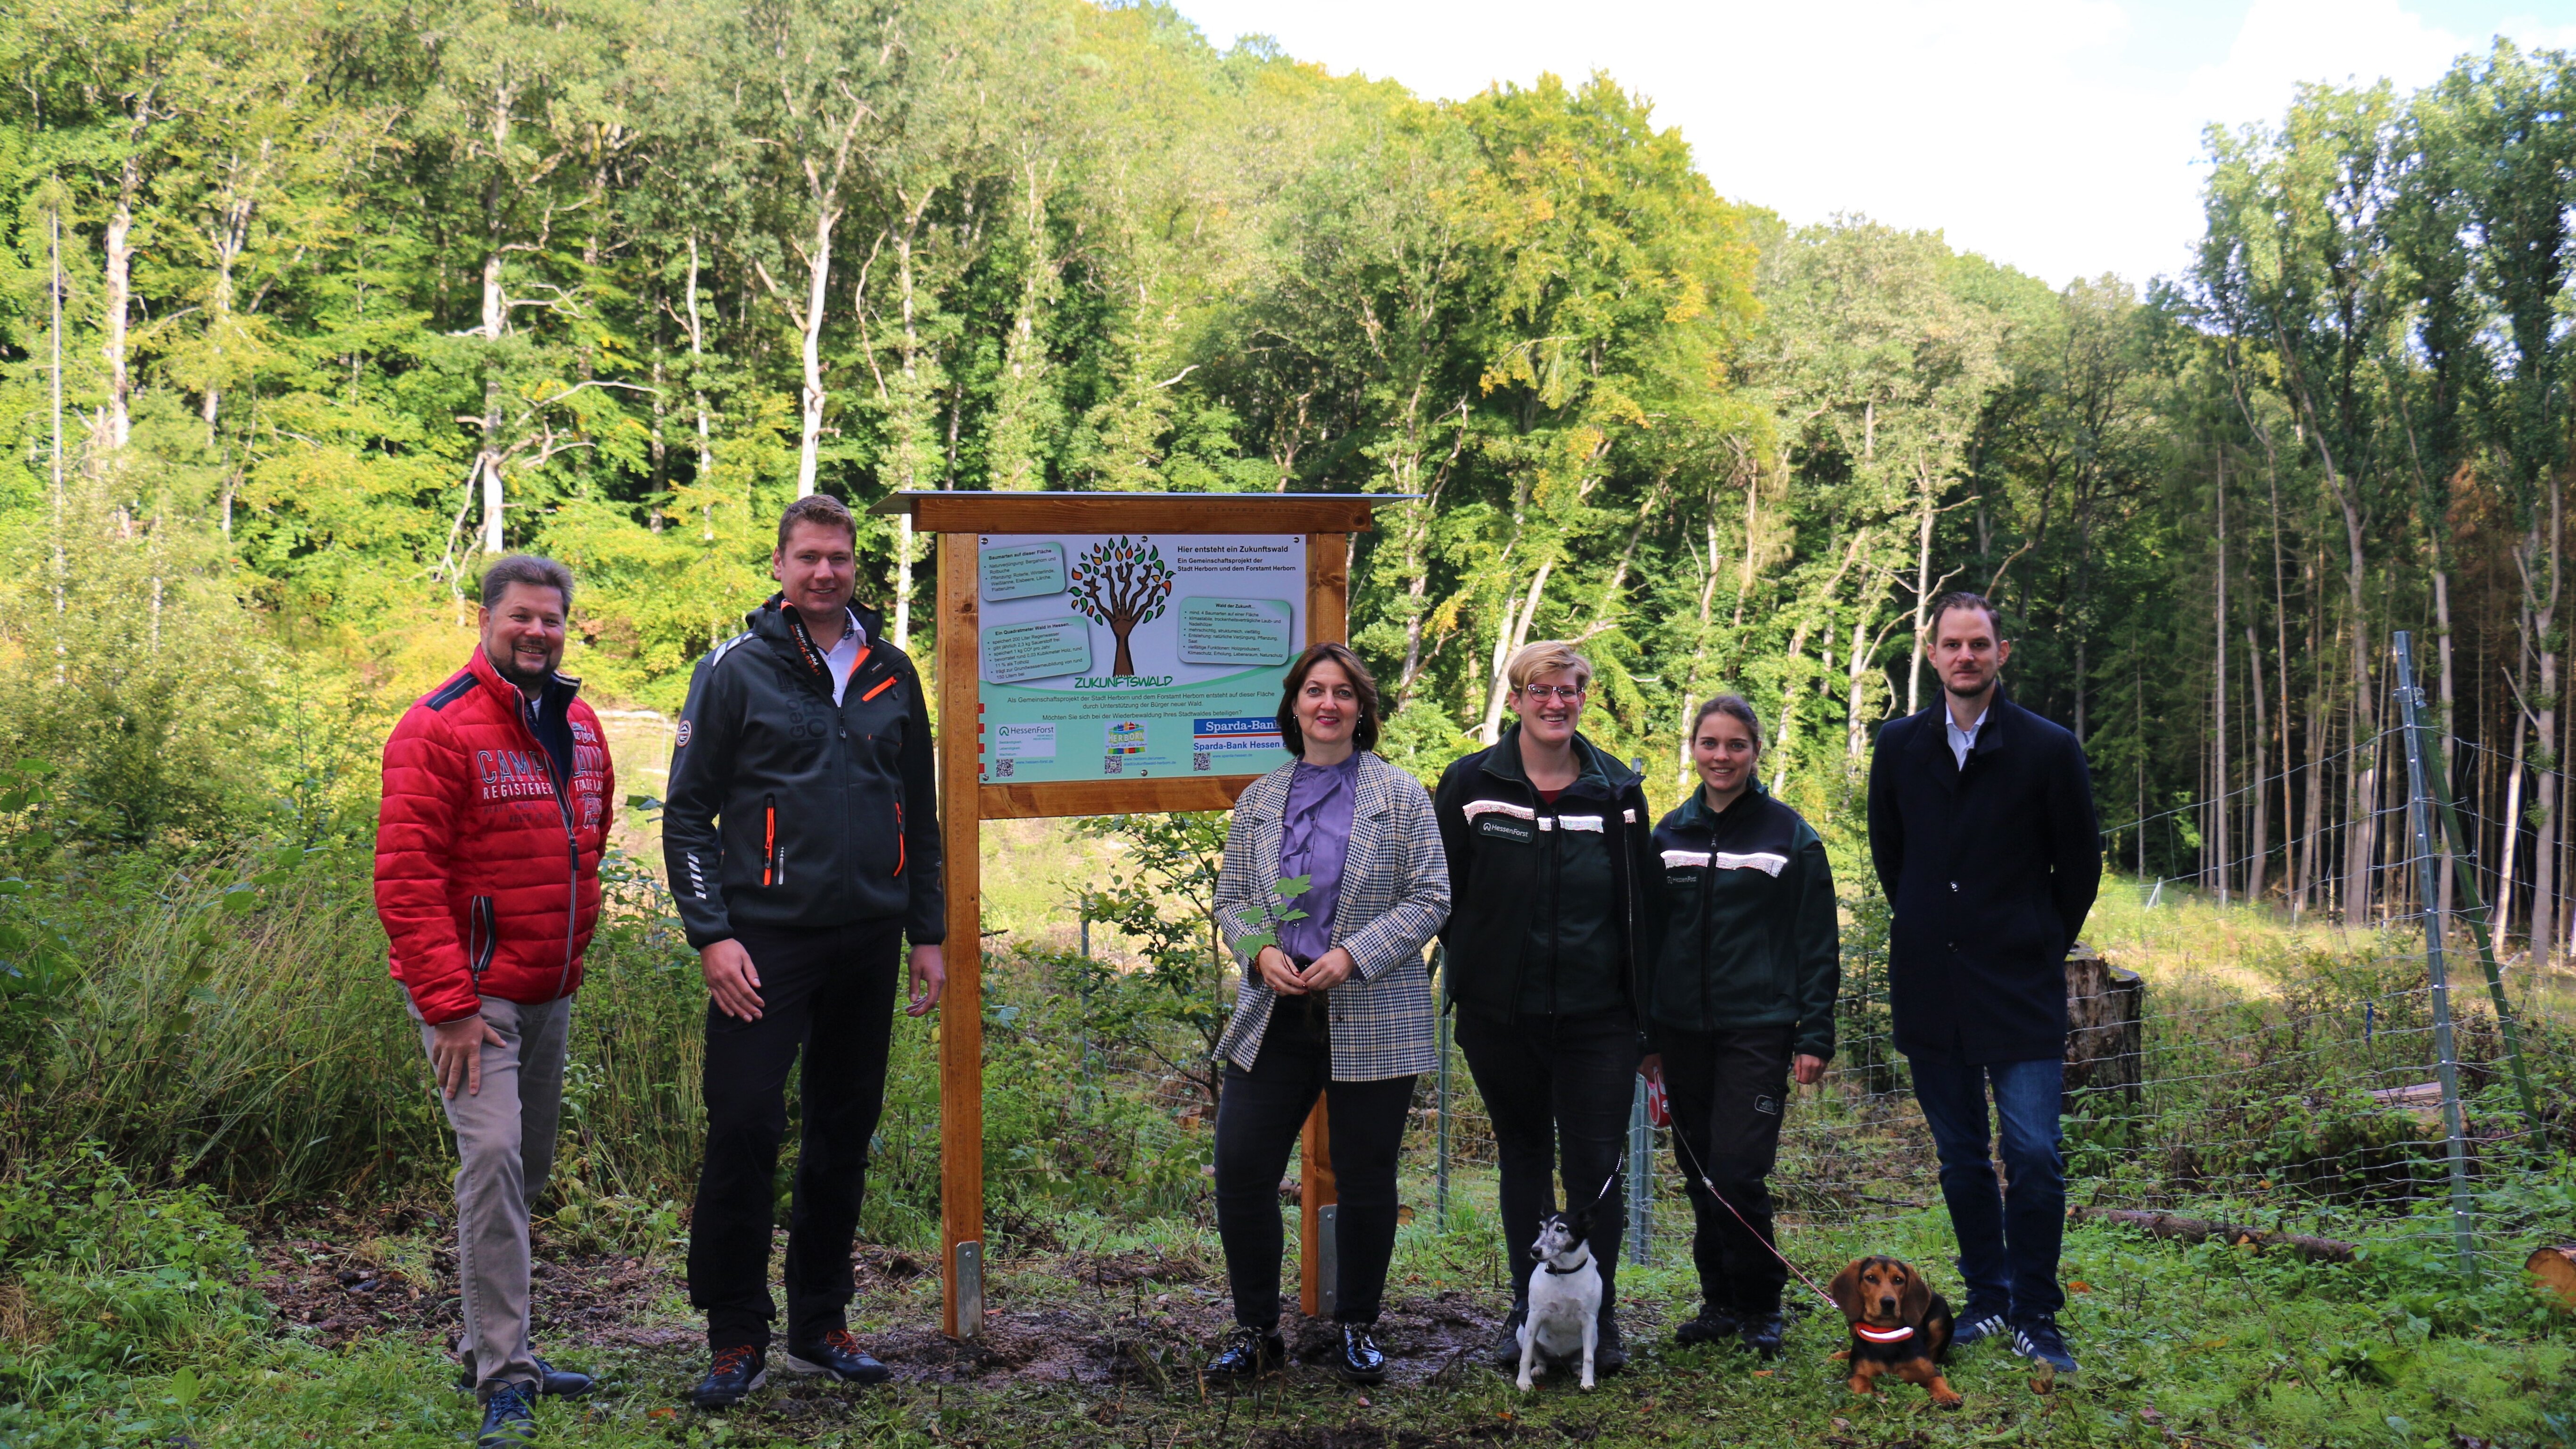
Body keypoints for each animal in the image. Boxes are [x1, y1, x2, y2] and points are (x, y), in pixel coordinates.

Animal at [1504, 1201, 1586, 1382]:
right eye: (1540, 1228)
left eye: (1561, 1229)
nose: (1535, 1250)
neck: (1563, 1273)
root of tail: (1560, 1360)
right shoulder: (1535, 1317)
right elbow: (1526, 1355)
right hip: (1524, 1334)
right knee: (1539, 1360)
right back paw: (1538, 1370)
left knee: (1578, 1362)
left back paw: (1579, 1371)